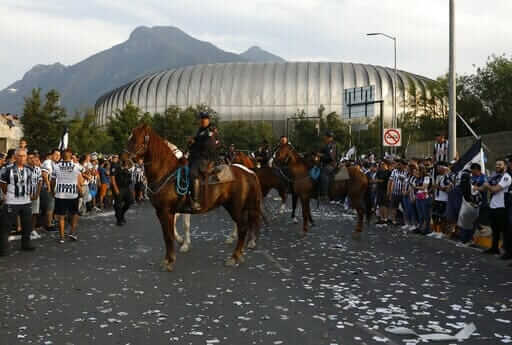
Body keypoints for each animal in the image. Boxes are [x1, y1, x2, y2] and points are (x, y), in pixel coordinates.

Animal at [128, 123, 264, 268]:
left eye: (135, 139)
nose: (125, 161)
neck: (166, 173)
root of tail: (248, 171)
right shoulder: (166, 211)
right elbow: (170, 232)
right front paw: (178, 247)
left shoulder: (166, 211)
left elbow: (170, 234)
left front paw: (171, 259)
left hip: (236, 207)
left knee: (242, 227)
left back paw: (234, 256)